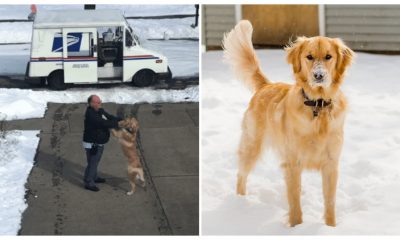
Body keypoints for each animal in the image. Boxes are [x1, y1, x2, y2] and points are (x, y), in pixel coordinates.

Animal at [223, 20, 354, 227]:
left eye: (328, 57)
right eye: (309, 57)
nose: (318, 75)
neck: (317, 106)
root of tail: (266, 85)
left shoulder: (331, 164)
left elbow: (330, 202)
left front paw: (331, 227)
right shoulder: (293, 162)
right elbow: (294, 202)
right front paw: (296, 226)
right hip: (252, 145)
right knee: (241, 175)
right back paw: (240, 202)